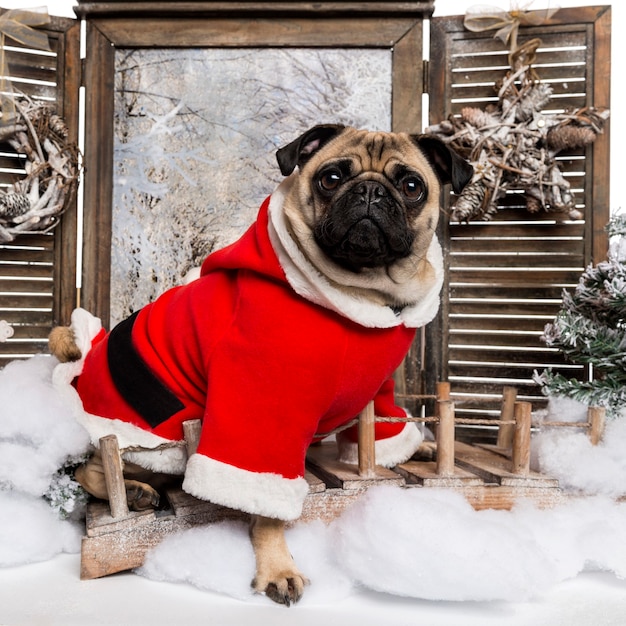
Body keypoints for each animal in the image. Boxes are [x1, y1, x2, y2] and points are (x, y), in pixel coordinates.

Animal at [48, 124, 470, 604]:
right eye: (331, 178)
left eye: (411, 186)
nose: (369, 191)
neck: (364, 295)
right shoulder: (265, 407)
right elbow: (265, 503)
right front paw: (278, 566)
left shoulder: (379, 388)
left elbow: (384, 428)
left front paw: (418, 446)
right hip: (150, 441)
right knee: (92, 468)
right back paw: (134, 493)